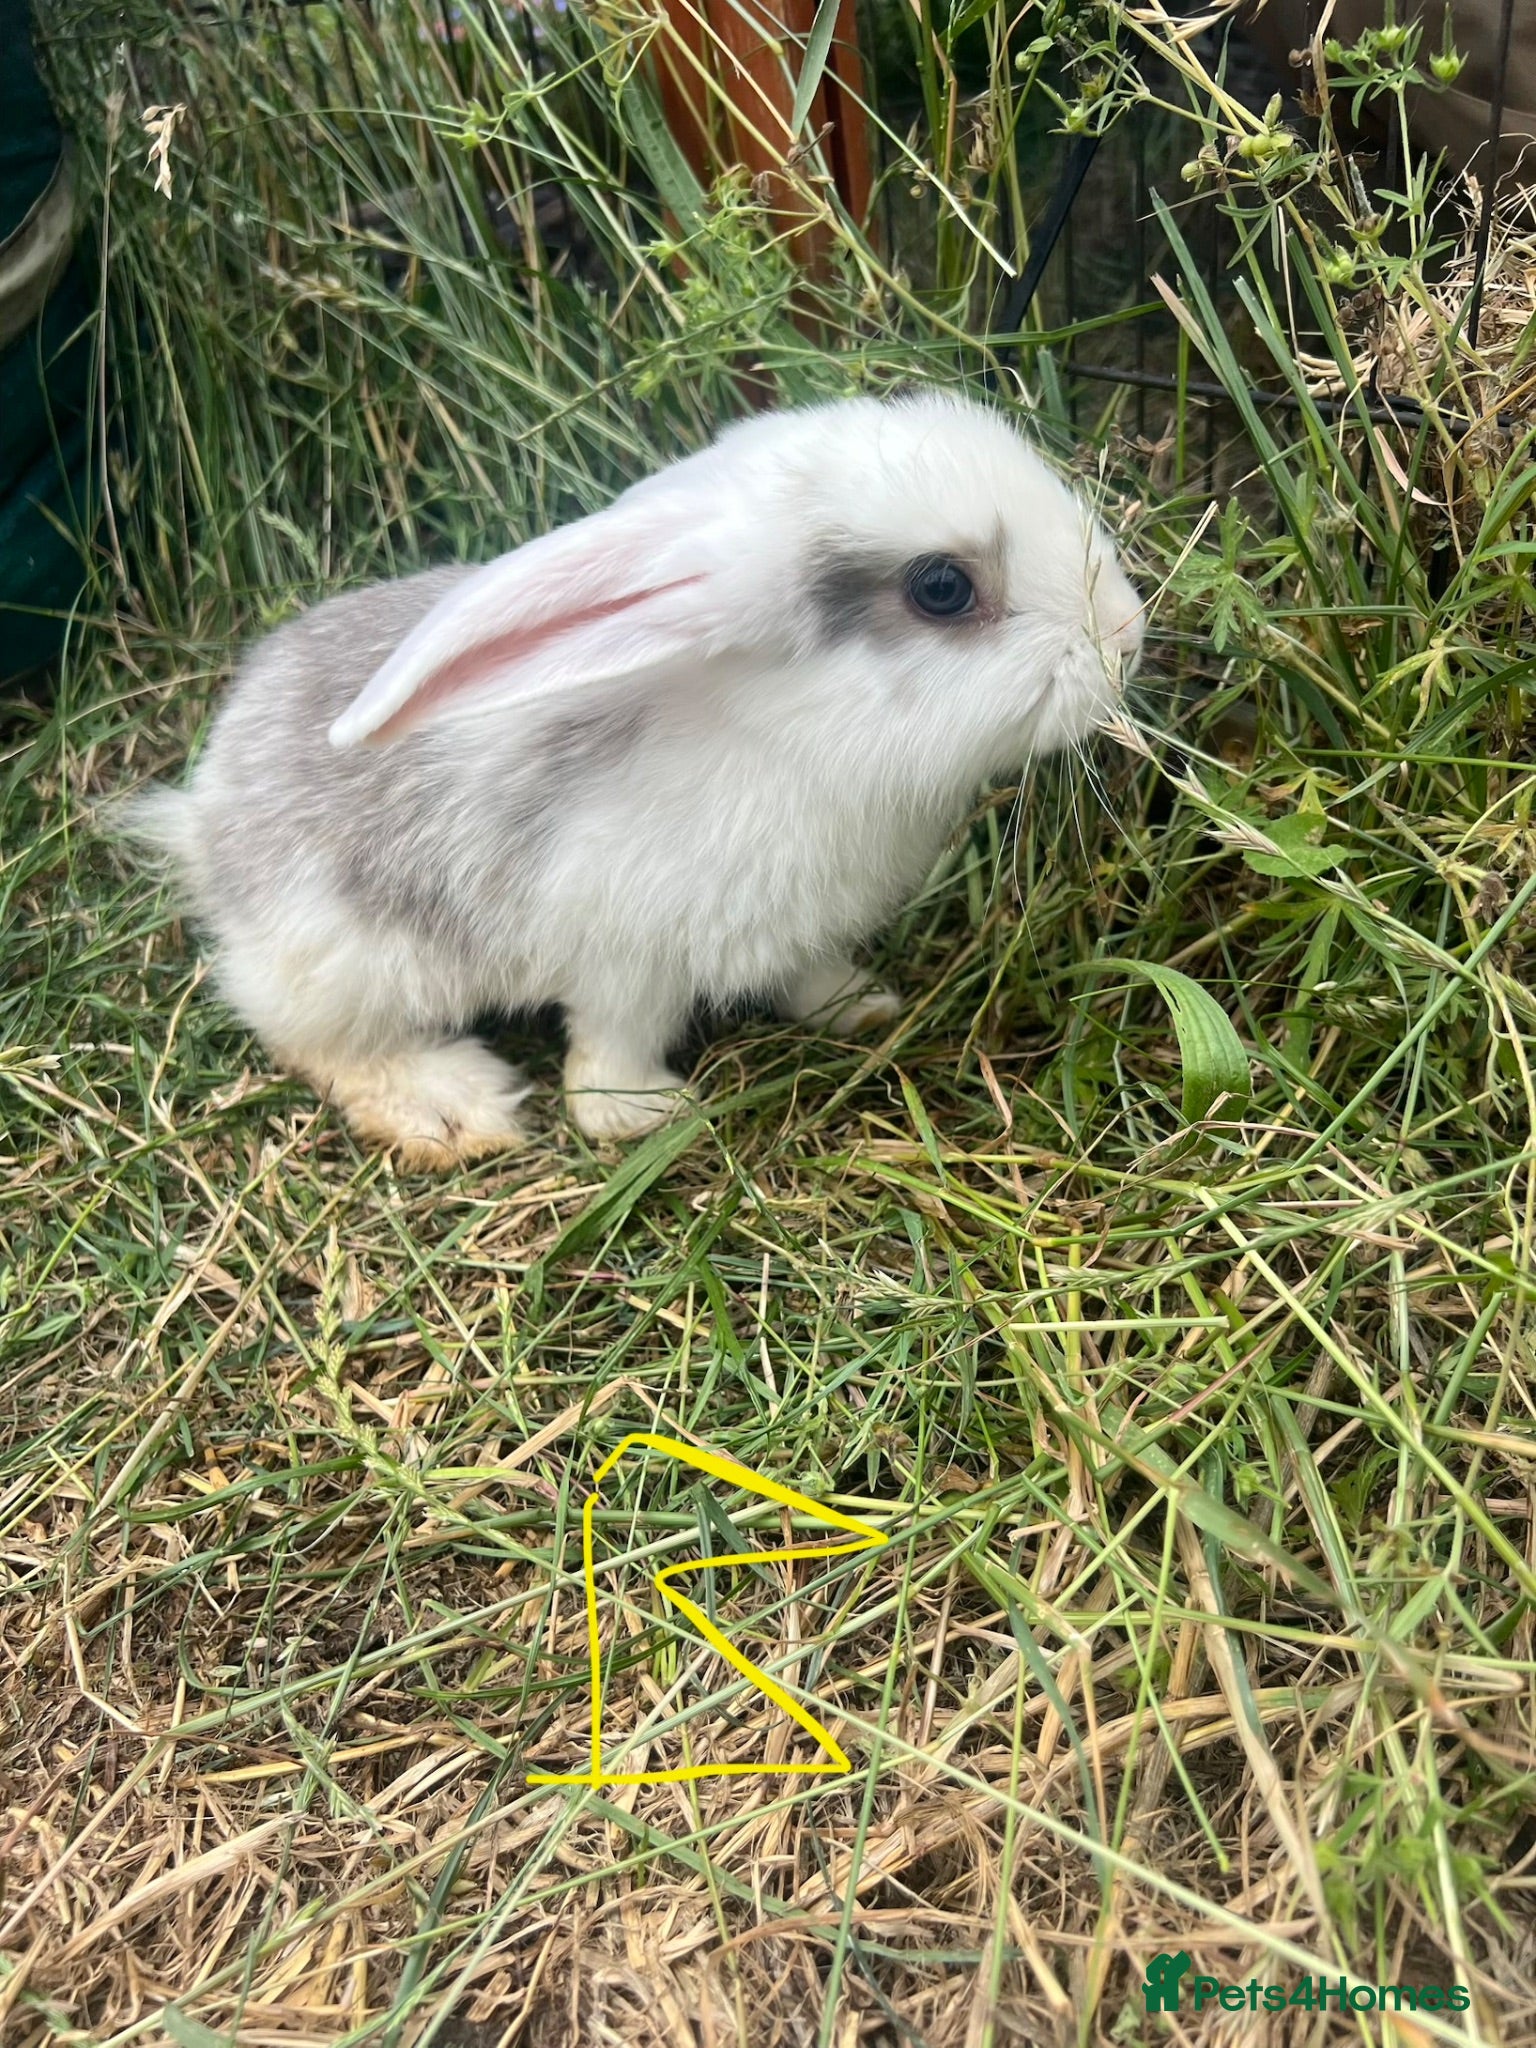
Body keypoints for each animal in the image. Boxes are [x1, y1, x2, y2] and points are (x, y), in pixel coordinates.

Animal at [123, 390, 1144, 1168]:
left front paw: (863, 1005)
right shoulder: (627, 962)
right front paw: (642, 1113)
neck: (788, 739)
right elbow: (611, 1046)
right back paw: (454, 1106)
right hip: (348, 962)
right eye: (941, 588)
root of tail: (206, 816)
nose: (1129, 634)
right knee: (317, 1042)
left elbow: (812, 977)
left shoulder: (795, 933)